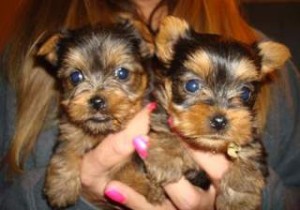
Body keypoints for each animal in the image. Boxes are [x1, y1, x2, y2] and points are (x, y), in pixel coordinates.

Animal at [36, 20, 157, 208]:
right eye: (75, 77)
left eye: (122, 73)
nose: (97, 101)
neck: (103, 131)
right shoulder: (70, 128)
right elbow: (66, 149)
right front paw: (61, 187)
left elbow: (129, 163)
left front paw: (142, 186)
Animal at [145, 16, 290, 210]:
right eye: (192, 85)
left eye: (245, 92)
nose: (219, 120)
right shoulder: (160, 109)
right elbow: (165, 125)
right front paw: (165, 158)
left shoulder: (251, 137)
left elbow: (249, 157)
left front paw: (239, 199)